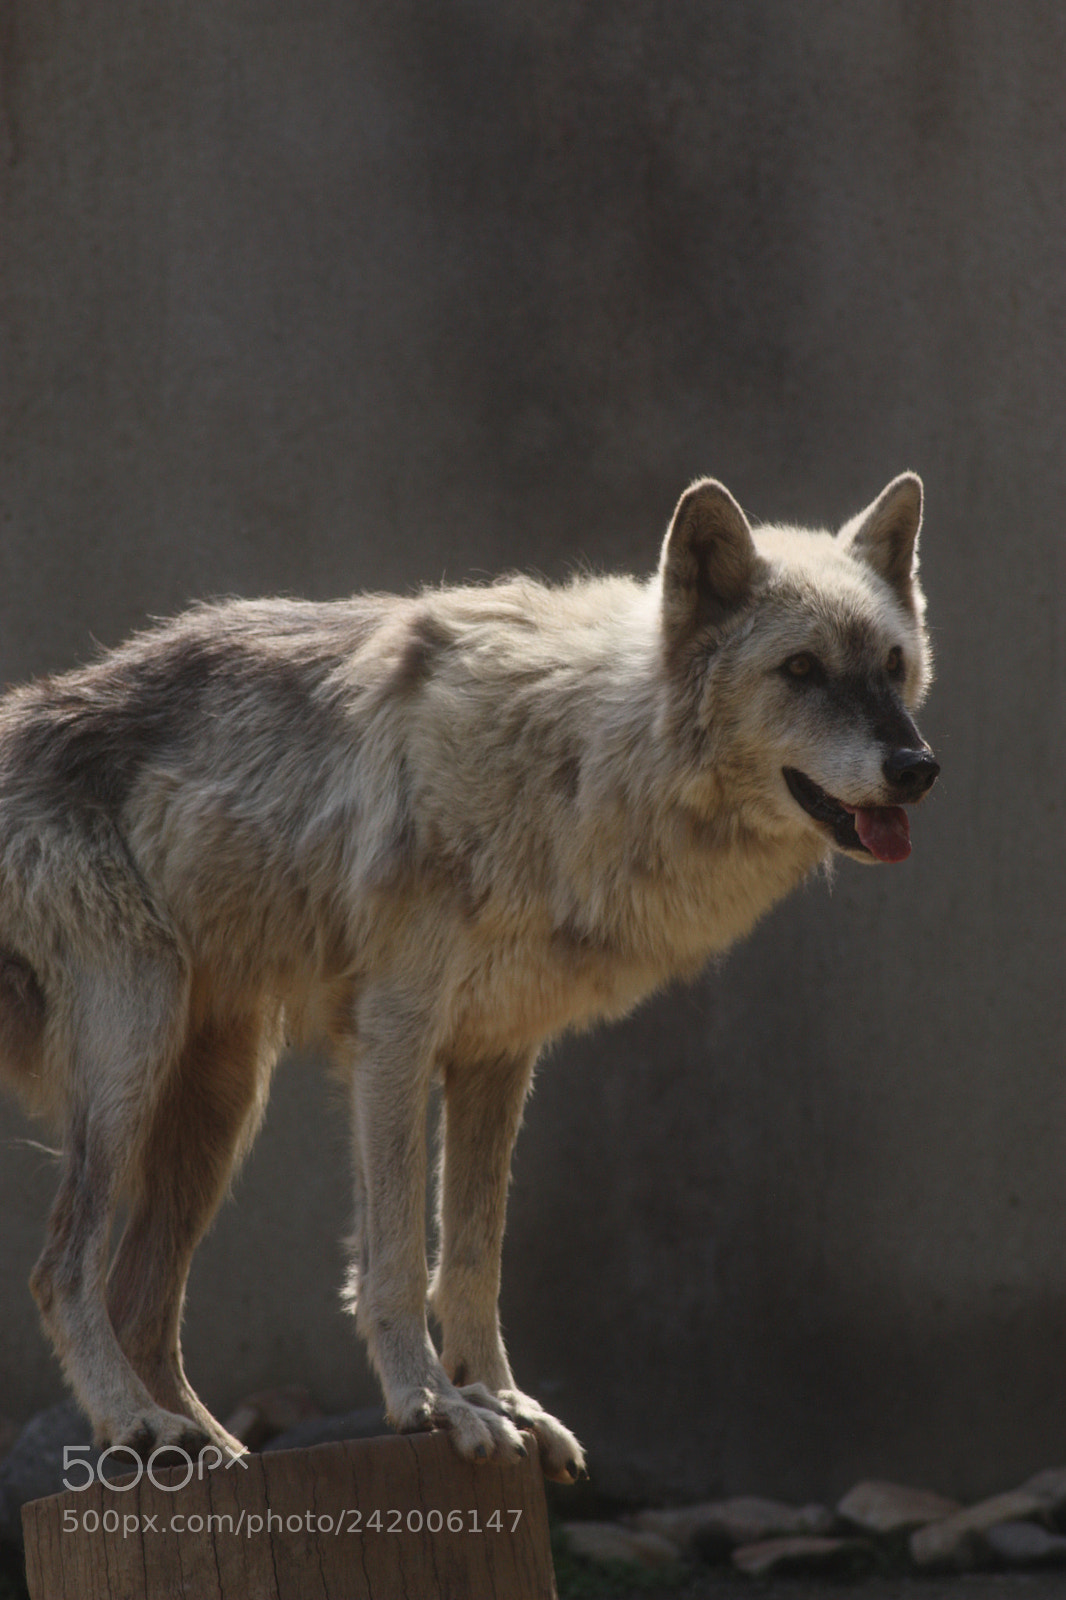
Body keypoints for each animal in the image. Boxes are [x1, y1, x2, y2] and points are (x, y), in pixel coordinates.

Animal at [0, 473, 936, 1483]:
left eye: (892, 666)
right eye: (801, 669)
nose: (917, 767)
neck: (576, 764)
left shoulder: (495, 1055)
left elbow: (475, 1259)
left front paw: (507, 1402)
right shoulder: (394, 1043)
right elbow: (399, 1260)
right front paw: (433, 1407)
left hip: (218, 1102)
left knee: (138, 1299)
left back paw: (210, 1448)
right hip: (136, 1050)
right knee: (63, 1269)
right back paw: (137, 1424)